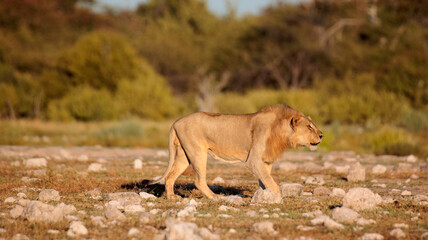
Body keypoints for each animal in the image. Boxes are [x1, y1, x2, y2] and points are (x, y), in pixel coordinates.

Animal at [143, 103, 320, 199]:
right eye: (309, 126)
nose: (322, 135)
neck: (281, 131)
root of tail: (176, 121)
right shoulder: (254, 160)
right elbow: (270, 182)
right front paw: (276, 197)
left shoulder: (265, 160)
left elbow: (264, 180)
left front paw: (263, 196)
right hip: (197, 152)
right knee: (198, 180)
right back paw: (215, 197)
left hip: (184, 154)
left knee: (170, 176)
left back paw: (172, 197)